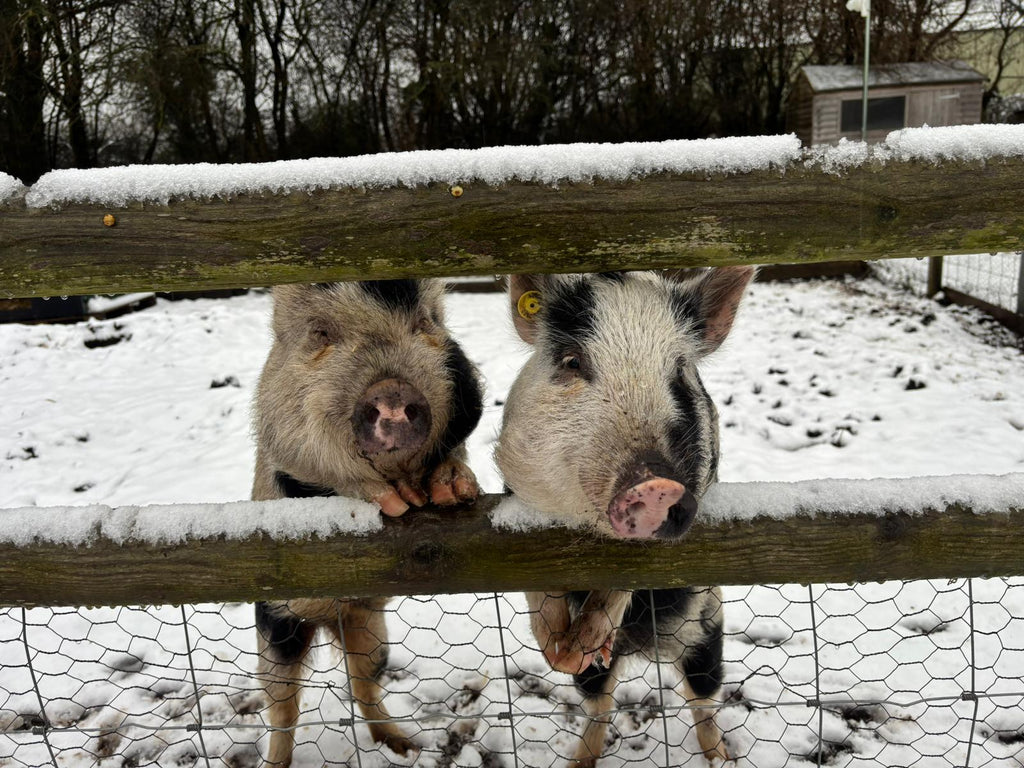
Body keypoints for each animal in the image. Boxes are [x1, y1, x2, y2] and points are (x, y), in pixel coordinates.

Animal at [251, 280, 483, 765]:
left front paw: (447, 492)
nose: (392, 390)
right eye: (320, 332)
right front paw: (397, 504)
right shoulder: (288, 462)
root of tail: (330, 617)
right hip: (278, 625)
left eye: (425, 322)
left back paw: (404, 746)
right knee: (282, 707)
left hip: (370, 625)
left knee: (364, 682)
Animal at [495, 268, 753, 765]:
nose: (655, 485)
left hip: (707, 624)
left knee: (702, 697)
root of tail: (646, 649)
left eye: (679, 372)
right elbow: (537, 592)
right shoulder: (520, 503)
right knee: (600, 701)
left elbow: (625, 578)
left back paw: (720, 758)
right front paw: (567, 649)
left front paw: (585, 641)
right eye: (573, 361)